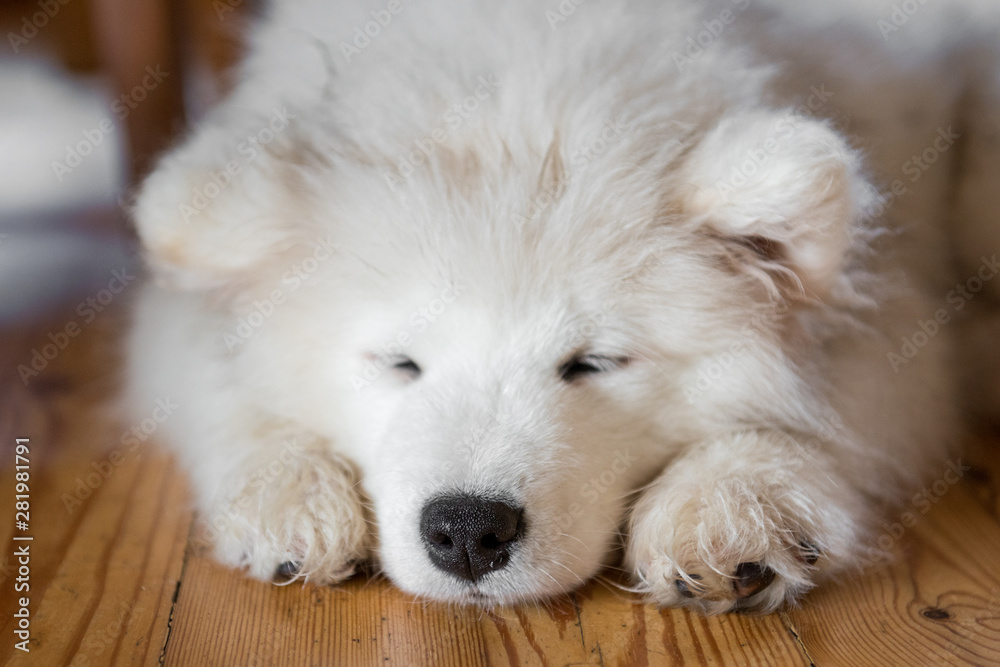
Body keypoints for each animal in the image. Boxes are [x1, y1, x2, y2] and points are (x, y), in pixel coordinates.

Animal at [127, 0, 1000, 616]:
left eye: (592, 363)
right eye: (400, 362)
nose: (468, 530)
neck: (516, 86)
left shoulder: (898, 312)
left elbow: (835, 412)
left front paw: (732, 506)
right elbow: (221, 389)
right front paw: (288, 496)